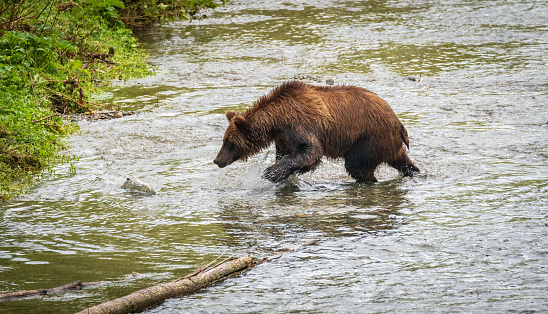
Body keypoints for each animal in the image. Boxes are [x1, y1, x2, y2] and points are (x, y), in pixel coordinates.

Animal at [214, 81, 420, 184]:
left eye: (228, 142)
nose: (217, 160)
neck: (276, 121)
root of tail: (396, 120)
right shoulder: (282, 138)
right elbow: (290, 154)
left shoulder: (299, 124)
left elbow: (311, 149)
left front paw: (272, 173)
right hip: (386, 142)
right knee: (401, 159)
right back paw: (414, 171)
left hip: (369, 138)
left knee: (357, 165)